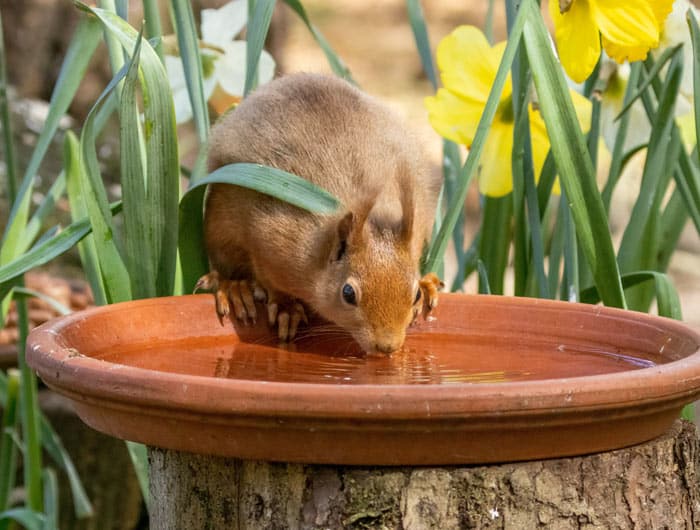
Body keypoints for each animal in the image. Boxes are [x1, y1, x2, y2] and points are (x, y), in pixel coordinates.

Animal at [197, 72, 446, 352]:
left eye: (414, 294)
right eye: (348, 293)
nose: (387, 347)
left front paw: (426, 286)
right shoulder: (271, 237)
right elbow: (269, 278)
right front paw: (286, 307)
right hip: (220, 225)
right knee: (226, 267)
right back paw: (235, 288)